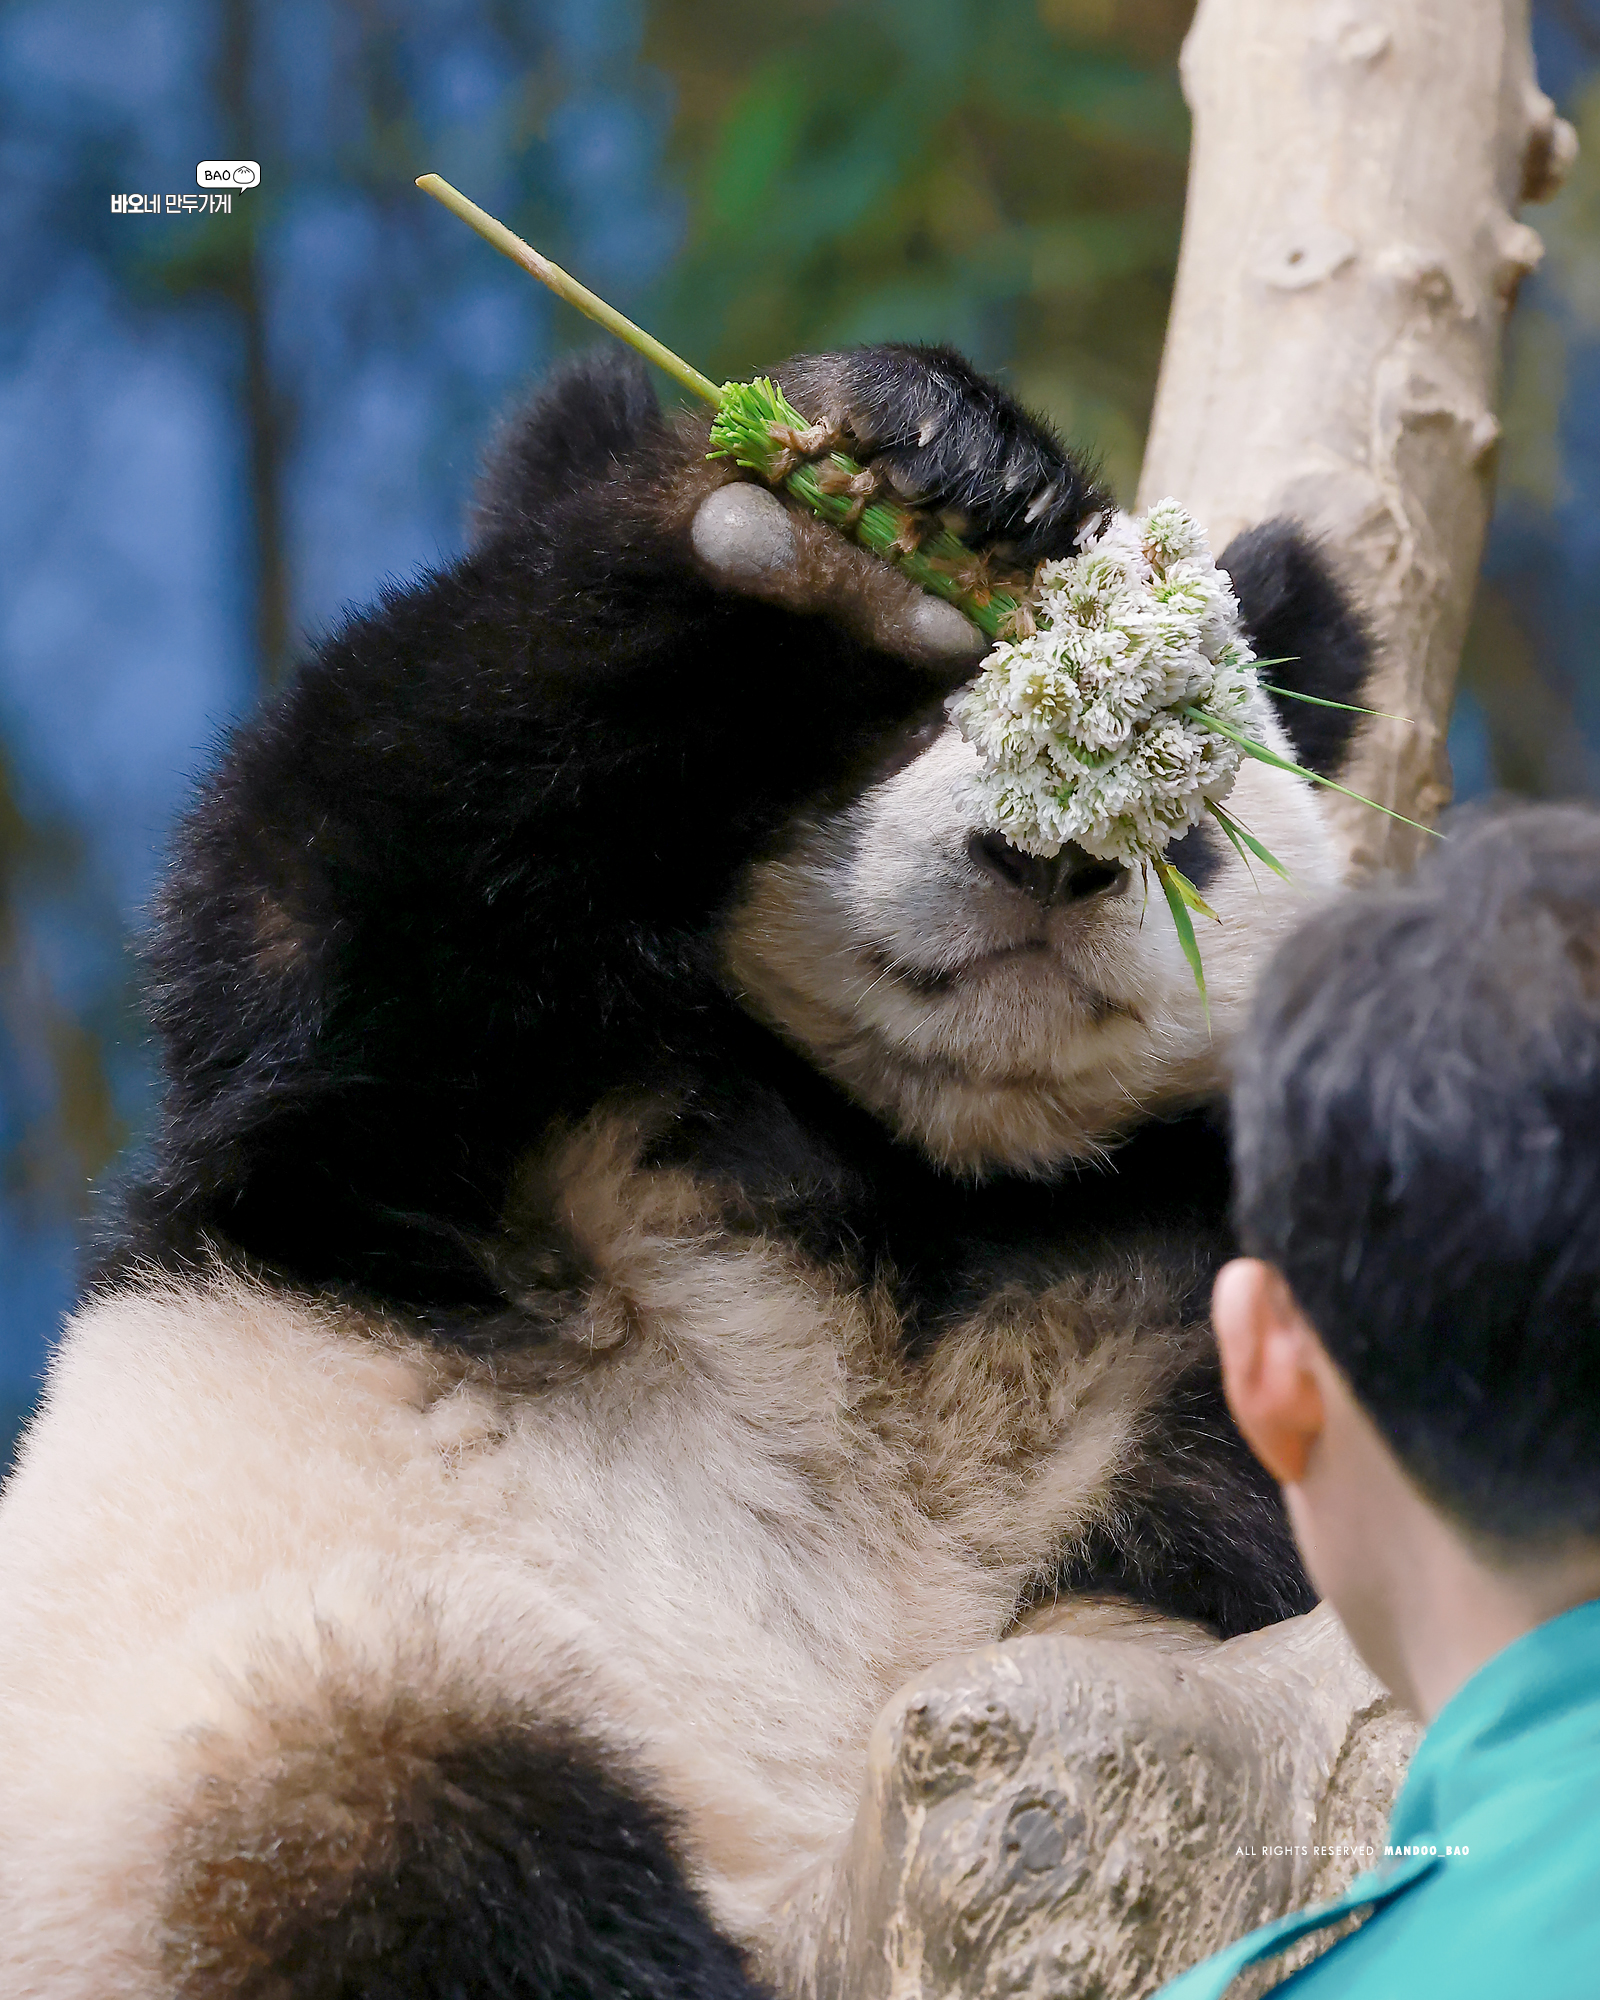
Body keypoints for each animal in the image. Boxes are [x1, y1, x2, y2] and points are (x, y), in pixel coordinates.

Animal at [3, 348, 1376, 2000]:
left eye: (1192, 800)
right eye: (907, 727)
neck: (921, 1167)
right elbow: (337, 850)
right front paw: (890, 496)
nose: (1045, 857)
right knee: (435, 1852)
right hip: (250, 1732)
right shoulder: (426, 1127)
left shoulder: (1176, 1246)